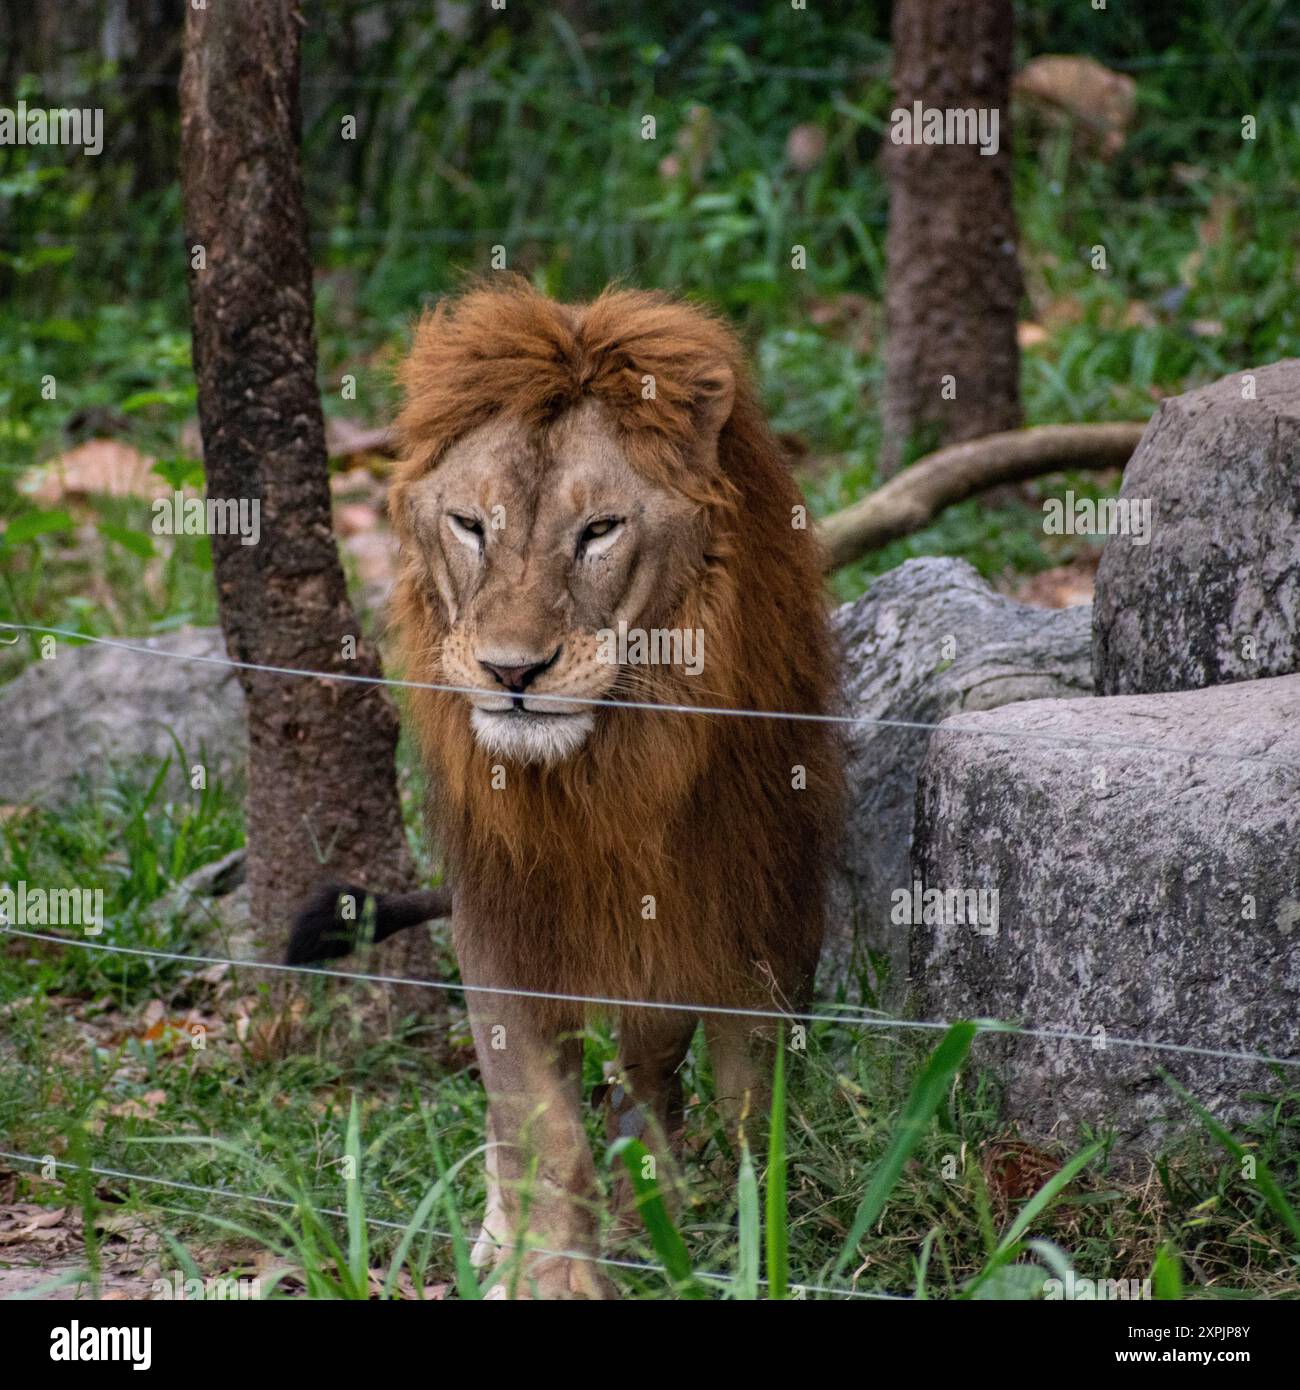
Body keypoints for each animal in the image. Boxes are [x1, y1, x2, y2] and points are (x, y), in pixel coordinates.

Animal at [290, 280, 841, 1298]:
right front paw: (547, 1273)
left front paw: (748, 1236)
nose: (513, 670)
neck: (606, 775)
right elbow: (540, 1129)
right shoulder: (501, 922)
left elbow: (748, 1102)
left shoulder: (759, 918)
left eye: (599, 531)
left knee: (647, 1072)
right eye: (471, 525)